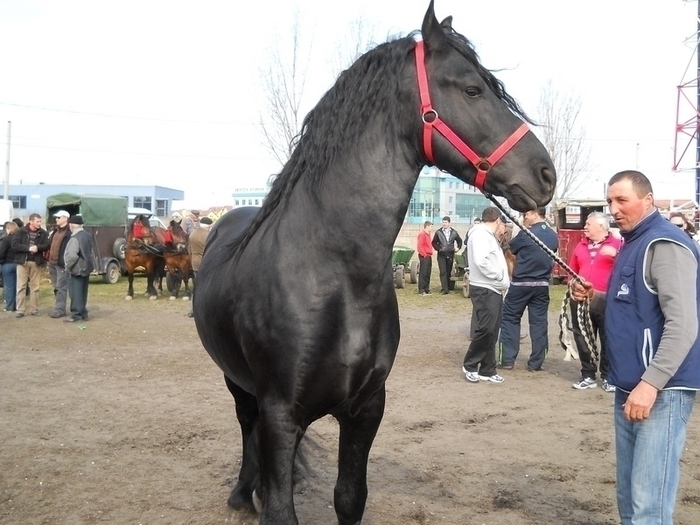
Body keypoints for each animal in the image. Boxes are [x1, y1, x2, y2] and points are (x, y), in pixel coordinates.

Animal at [194, 3, 556, 520]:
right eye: (472, 88)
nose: (544, 173)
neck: (331, 277)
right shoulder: (280, 414)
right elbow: (281, 508)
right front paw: (262, 495)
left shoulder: (366, 410)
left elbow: (350, 498)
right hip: (237, 383)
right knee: (245, 424)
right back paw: (245, 493)